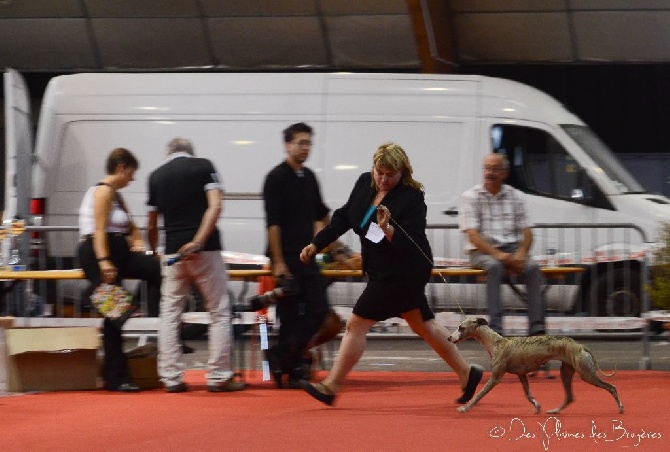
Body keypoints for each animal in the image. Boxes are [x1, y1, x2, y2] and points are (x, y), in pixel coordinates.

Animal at [448, 316, 628, 414]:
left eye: (461, 327)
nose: (449, 338)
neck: (496, 342)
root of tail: (580, 345)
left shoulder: (495, 377)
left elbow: (479, 395)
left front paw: (465, 408)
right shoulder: (522, 375)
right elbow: (528, 394)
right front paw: (537, 406)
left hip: (586, 374)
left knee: (612, 387)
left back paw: (620, 408)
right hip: (567, 372)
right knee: (570, 397)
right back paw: (554, 411)